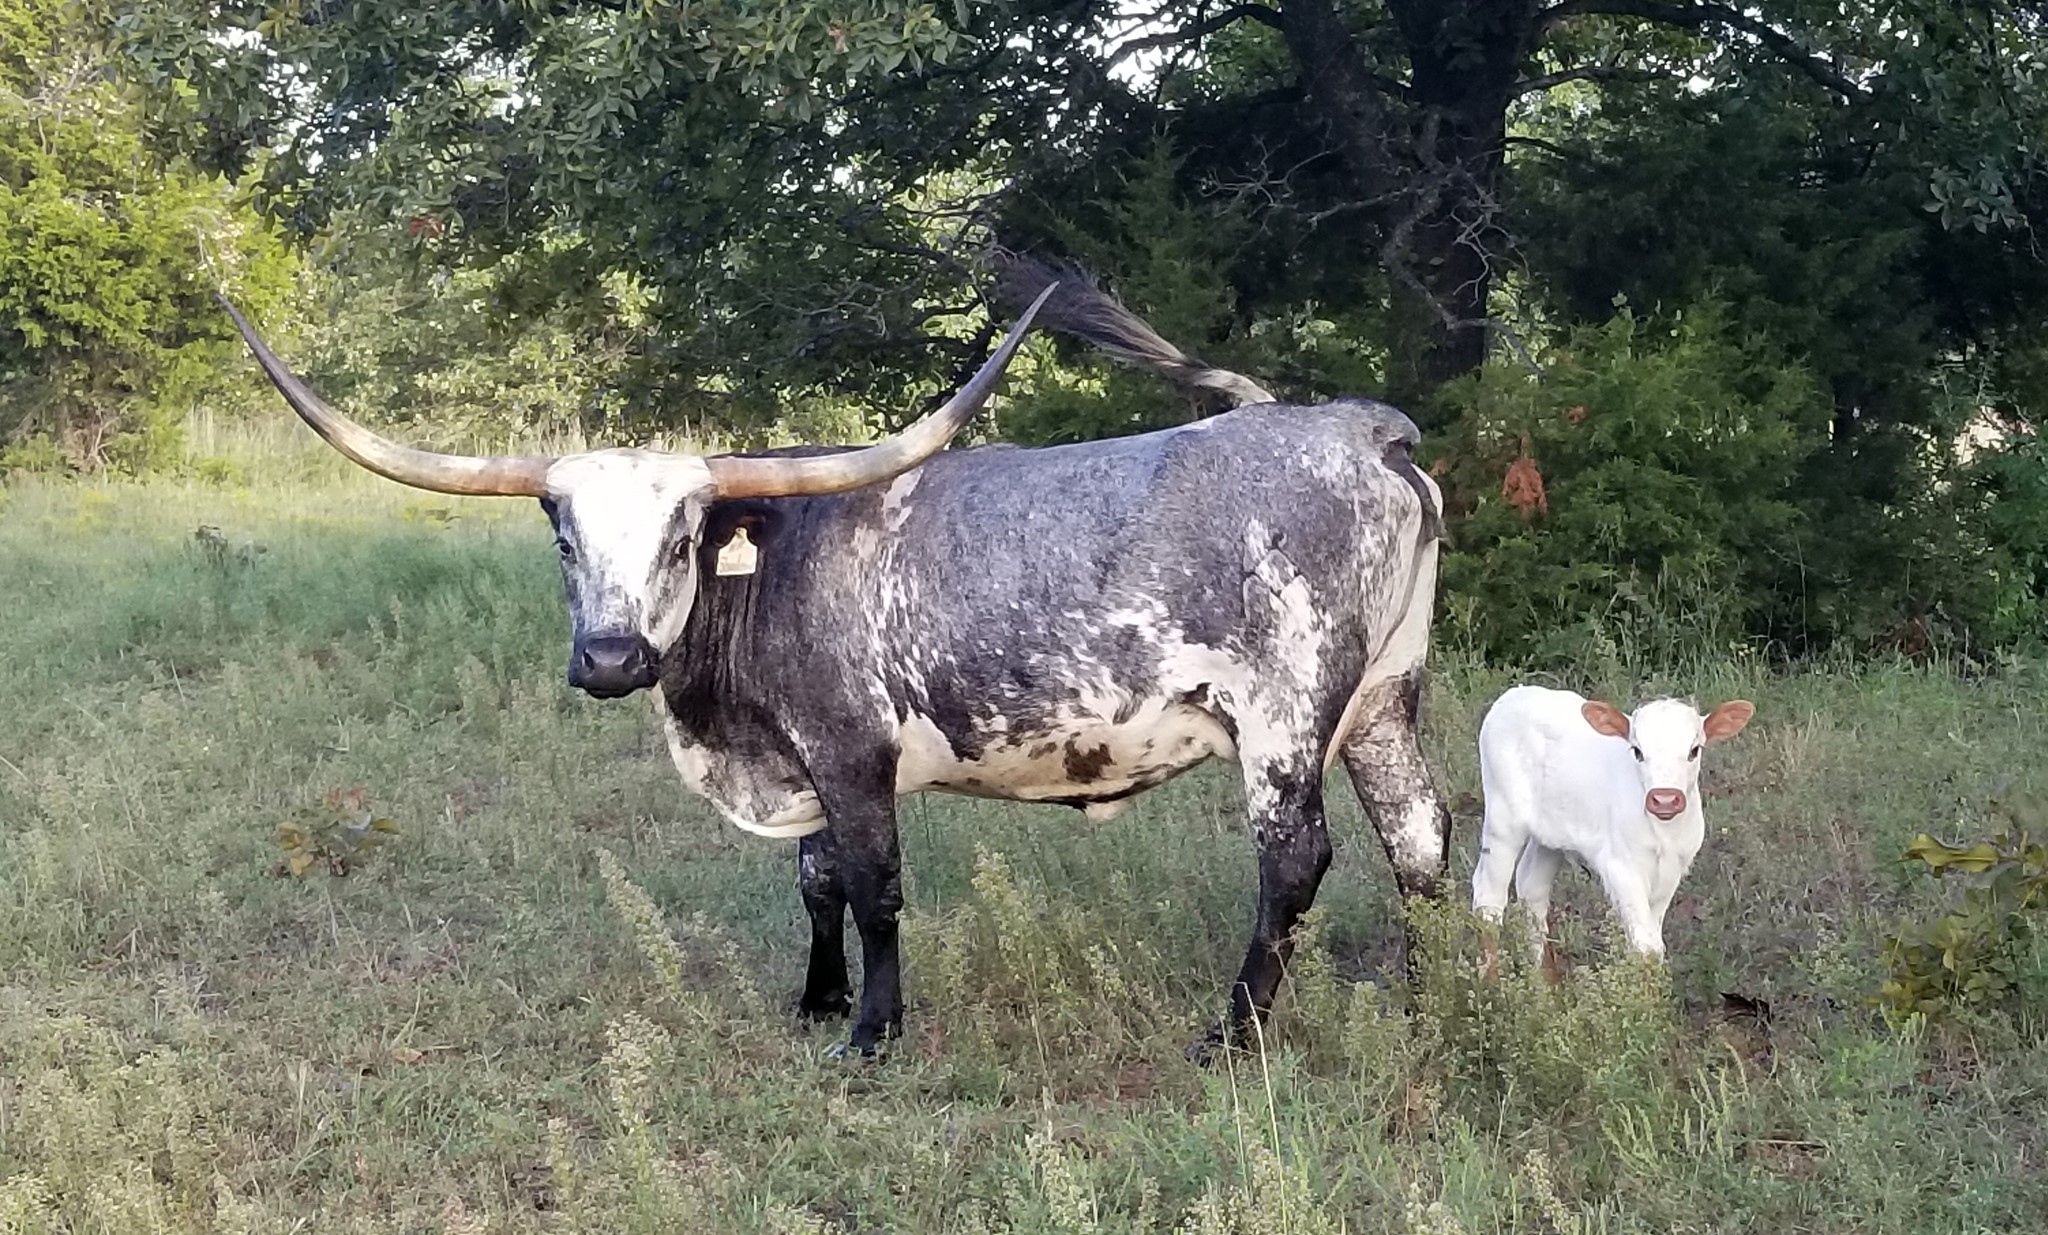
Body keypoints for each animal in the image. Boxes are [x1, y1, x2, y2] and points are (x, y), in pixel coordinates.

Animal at [221, 266, 1449, 1061]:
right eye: (561, 534)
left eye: (682, 535)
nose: (610, 657)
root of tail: (1358, 427)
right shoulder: (803, 758)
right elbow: (813, 881)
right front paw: (815, 999)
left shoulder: (851, 751)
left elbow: (871, 883)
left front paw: (871, 1030)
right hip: (1384, 696)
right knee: (1420, 837)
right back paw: (1433, 998)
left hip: (1285, 713)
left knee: (1295, 859)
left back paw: (1231, 1035)